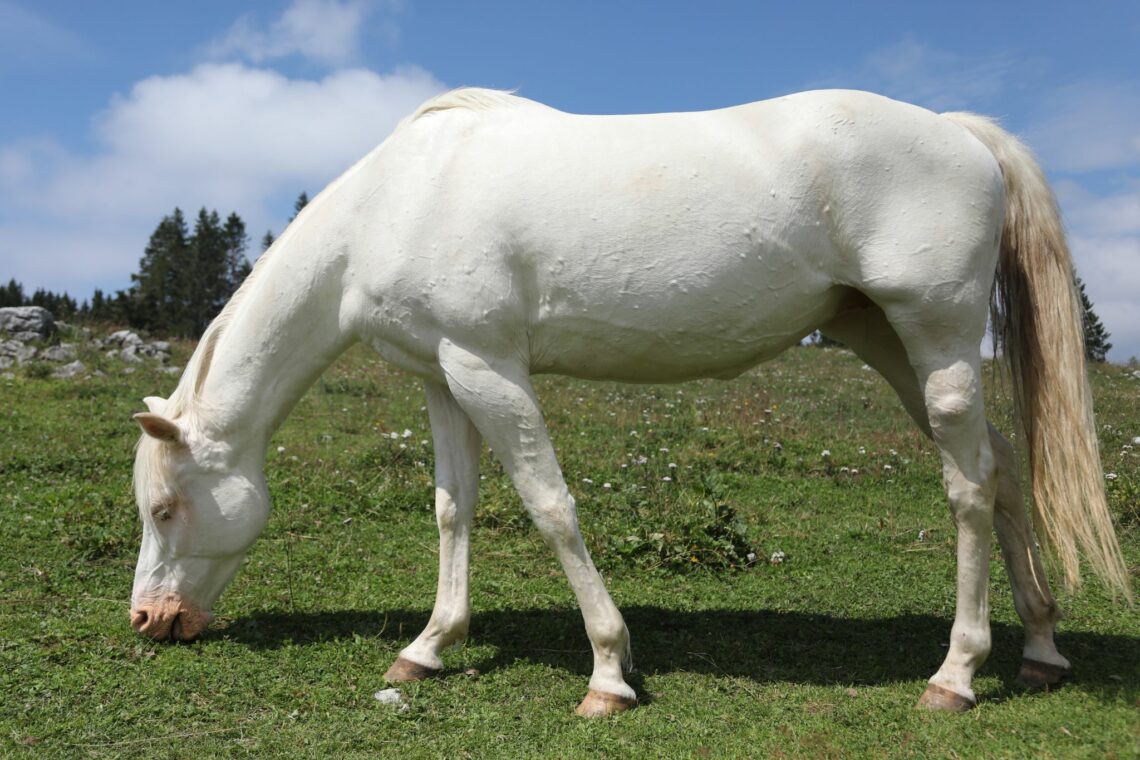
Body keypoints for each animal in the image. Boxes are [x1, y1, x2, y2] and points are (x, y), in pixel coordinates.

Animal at [129, 88, 1130, 716]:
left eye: (166, 508)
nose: (148, 621)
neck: (394, 202)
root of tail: (963, 134)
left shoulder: (490, 367)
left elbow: (550, 508)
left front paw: (609, 673)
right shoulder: (442, 376)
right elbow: (455, 510)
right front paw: (428, 646)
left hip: (940, 342)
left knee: (968, 489)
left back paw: (956, 675)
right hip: (890, 345)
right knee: (1003, 470)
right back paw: (1040, 649)